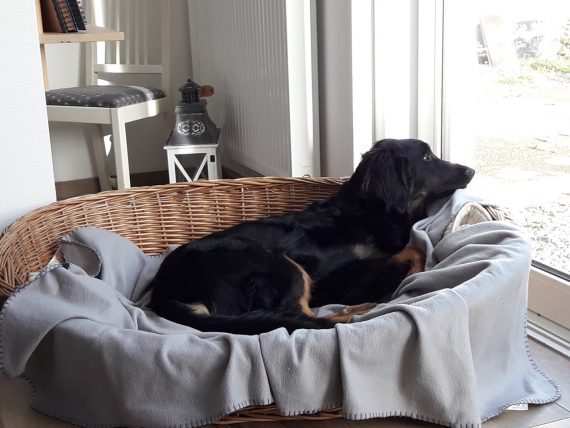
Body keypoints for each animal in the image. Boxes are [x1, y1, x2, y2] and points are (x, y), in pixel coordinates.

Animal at [149, 139, 475, 335]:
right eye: (427, 156)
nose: (471, 170)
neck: (367, 209)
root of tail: (163, 290)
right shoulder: (335, 276)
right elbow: (412, 251)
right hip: (276, 263)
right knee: (299, 316)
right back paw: (360, 309)